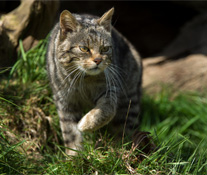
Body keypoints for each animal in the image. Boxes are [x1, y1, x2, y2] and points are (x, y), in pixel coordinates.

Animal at [46, 7, 142, 156]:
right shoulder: (64, 100)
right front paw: (74, 156)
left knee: (125, 130)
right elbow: (70, 132)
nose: (98, 60)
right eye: (84, 48)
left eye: (105, 48)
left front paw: (85, 124)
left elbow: (105, 111)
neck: (84, 80)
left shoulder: (110, 89)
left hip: (129, 101)